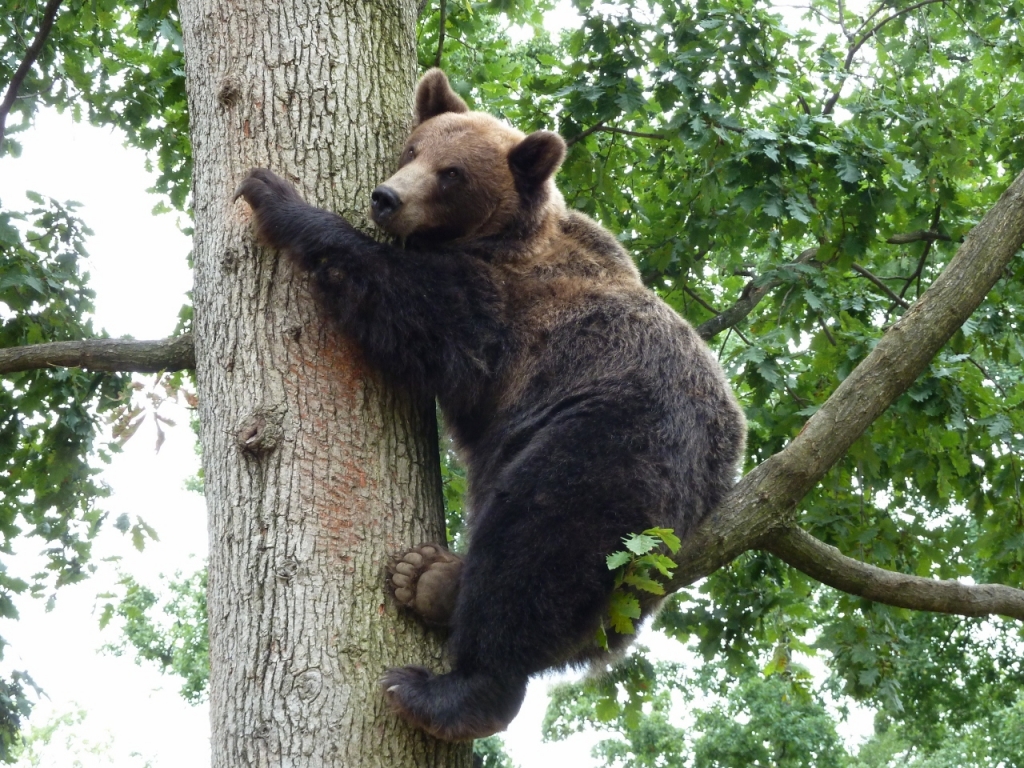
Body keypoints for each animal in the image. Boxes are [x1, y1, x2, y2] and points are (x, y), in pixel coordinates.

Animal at [234, 69, 745, 741]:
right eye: (413, 148)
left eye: (452, 173)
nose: (386, 197)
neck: (500, 237)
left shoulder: (504, 310)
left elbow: (413, 310)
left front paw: (276, 195)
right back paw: (428, 576)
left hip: (606, 442)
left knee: (534, 549)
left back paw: (449, 690)